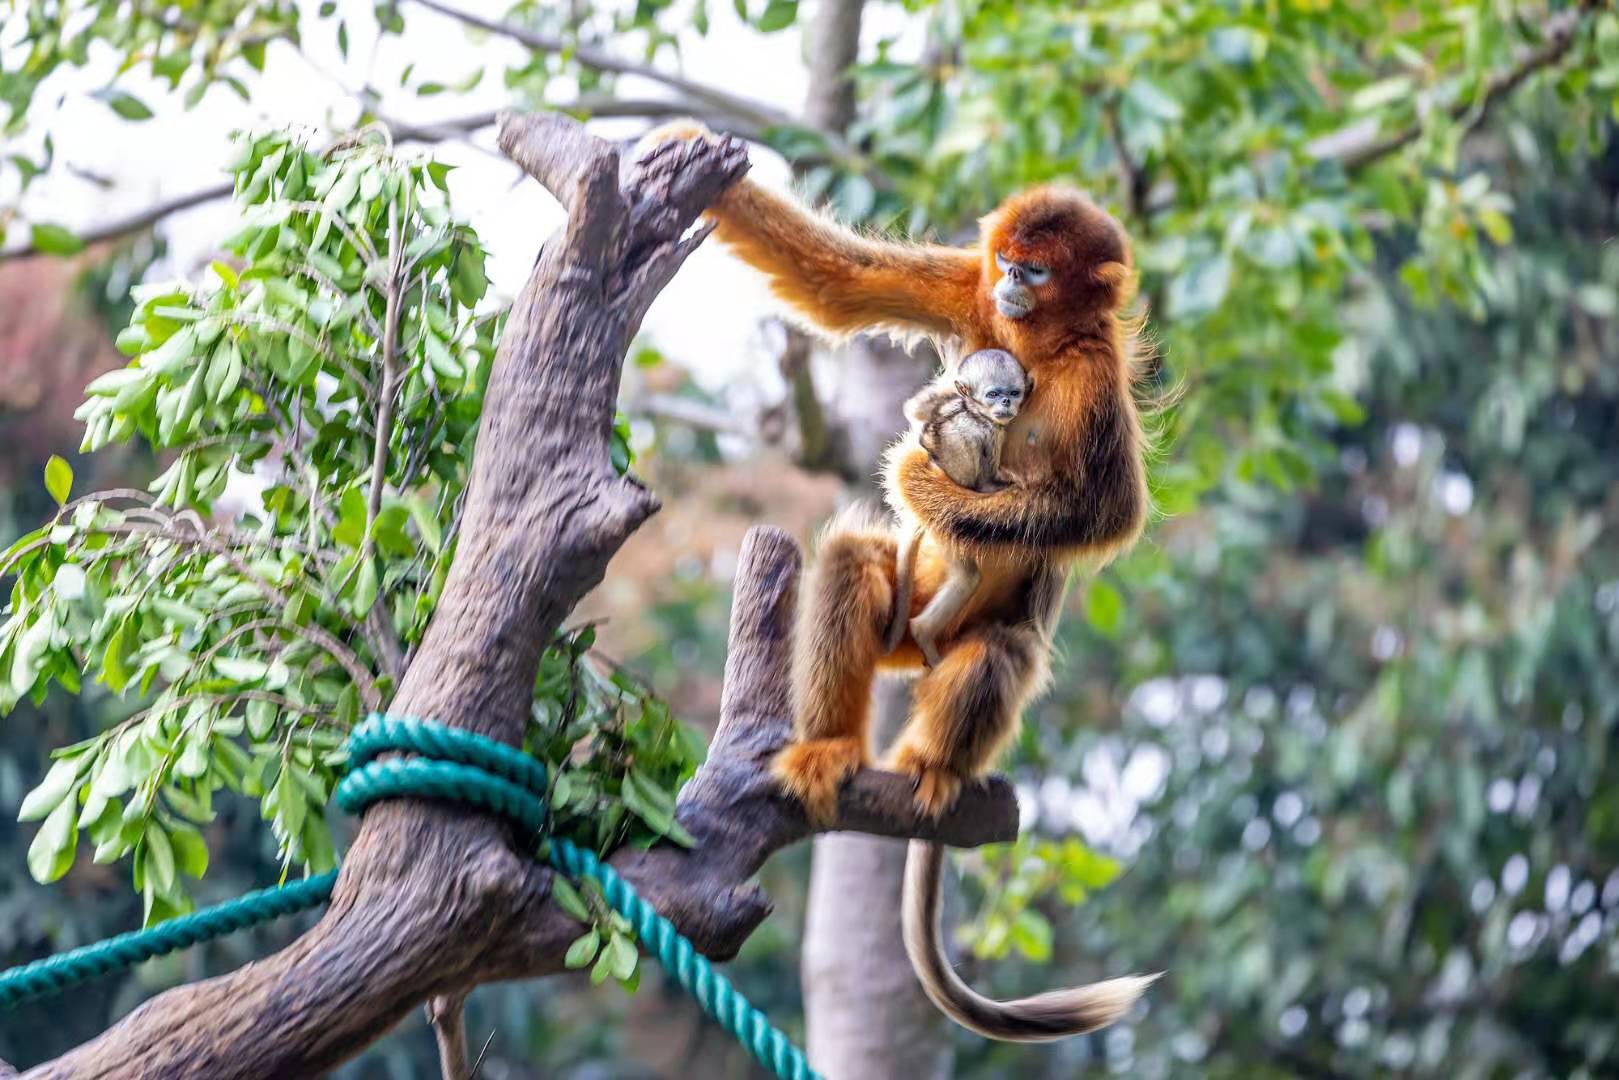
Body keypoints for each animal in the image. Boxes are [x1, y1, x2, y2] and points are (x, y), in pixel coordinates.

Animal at [893, 348, 1029, 667]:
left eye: (1013, 393)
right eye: (993, 394)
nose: (1006, 403)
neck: (972, 407)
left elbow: (915, 410)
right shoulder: (993, 430)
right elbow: (987, 472)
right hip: (942, 528)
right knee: (968, 578)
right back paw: (923, 634)